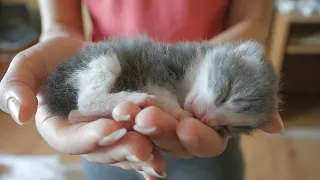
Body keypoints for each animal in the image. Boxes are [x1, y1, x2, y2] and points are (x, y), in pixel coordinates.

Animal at [40, 35, 280, 137]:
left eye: (227, 128)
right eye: (225, 93)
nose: (202, 118)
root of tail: (51, 93)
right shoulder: (155, 65)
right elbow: (164, 94)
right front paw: (180, 113)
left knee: (76, 111)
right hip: (100, 59)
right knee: (86, 100)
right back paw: (136, 98)